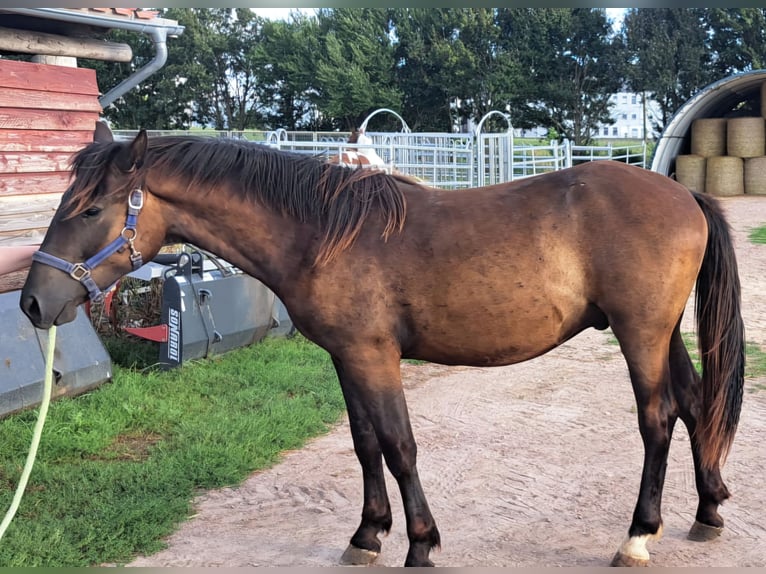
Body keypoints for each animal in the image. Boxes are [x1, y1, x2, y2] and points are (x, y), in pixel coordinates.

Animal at [21, 132, 748, 572]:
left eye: (90, 210)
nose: (32, 303)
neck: (322, 233)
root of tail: (684, 193)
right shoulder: (346, 358)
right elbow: (365, 443)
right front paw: (367, 535)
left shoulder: (374, 357)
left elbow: (400, 447)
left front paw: (420, 543)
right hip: (660, 333)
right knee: (692, 405)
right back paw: (708, 510)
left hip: (639, 333)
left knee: (657, 419)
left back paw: (639, 536)